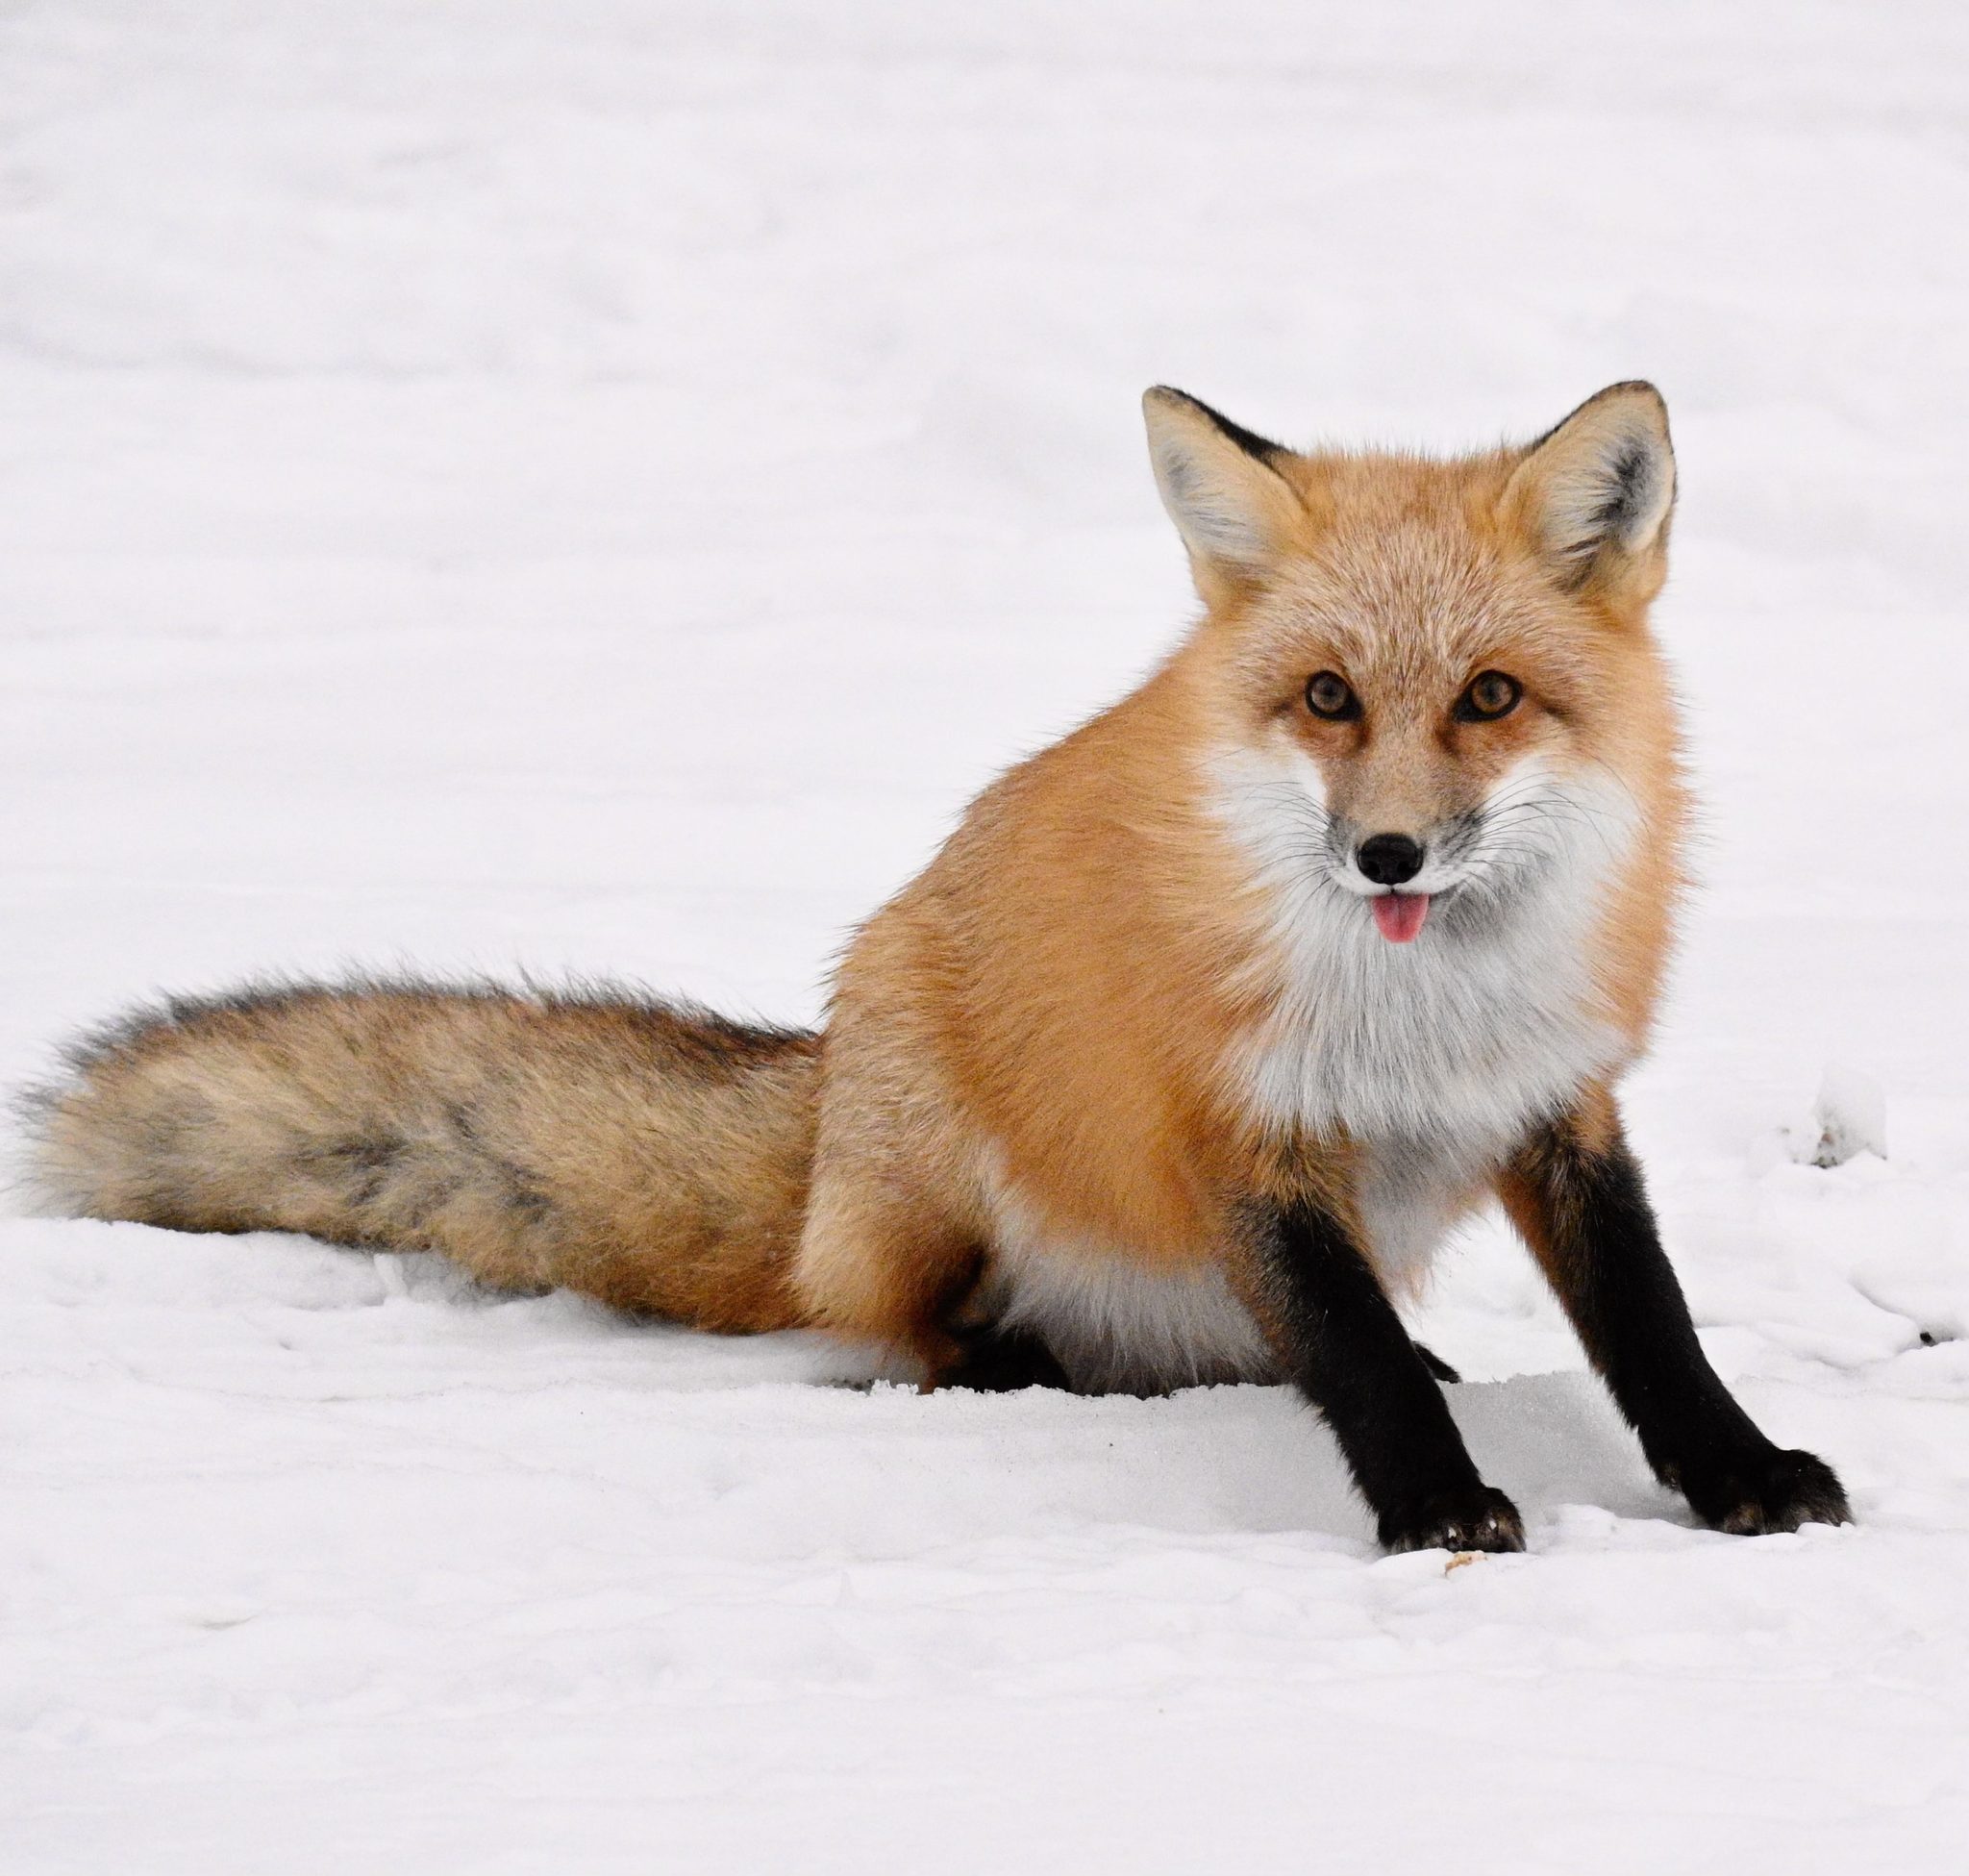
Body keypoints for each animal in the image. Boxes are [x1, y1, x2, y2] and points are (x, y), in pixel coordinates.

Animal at [23, 381, 1852, 1555]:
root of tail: (823, 1105)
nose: (1385, 855)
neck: (1422, 1019)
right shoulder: (1237, 1135)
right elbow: (1350, 1350)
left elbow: (1650, 1325)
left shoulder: (1557, 1103)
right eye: (1330, 697)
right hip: (933, 1166)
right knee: (891, 1331)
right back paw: (1018, 1362)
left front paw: (1740, 1474)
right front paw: (1430, 1506)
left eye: (1487, 697)